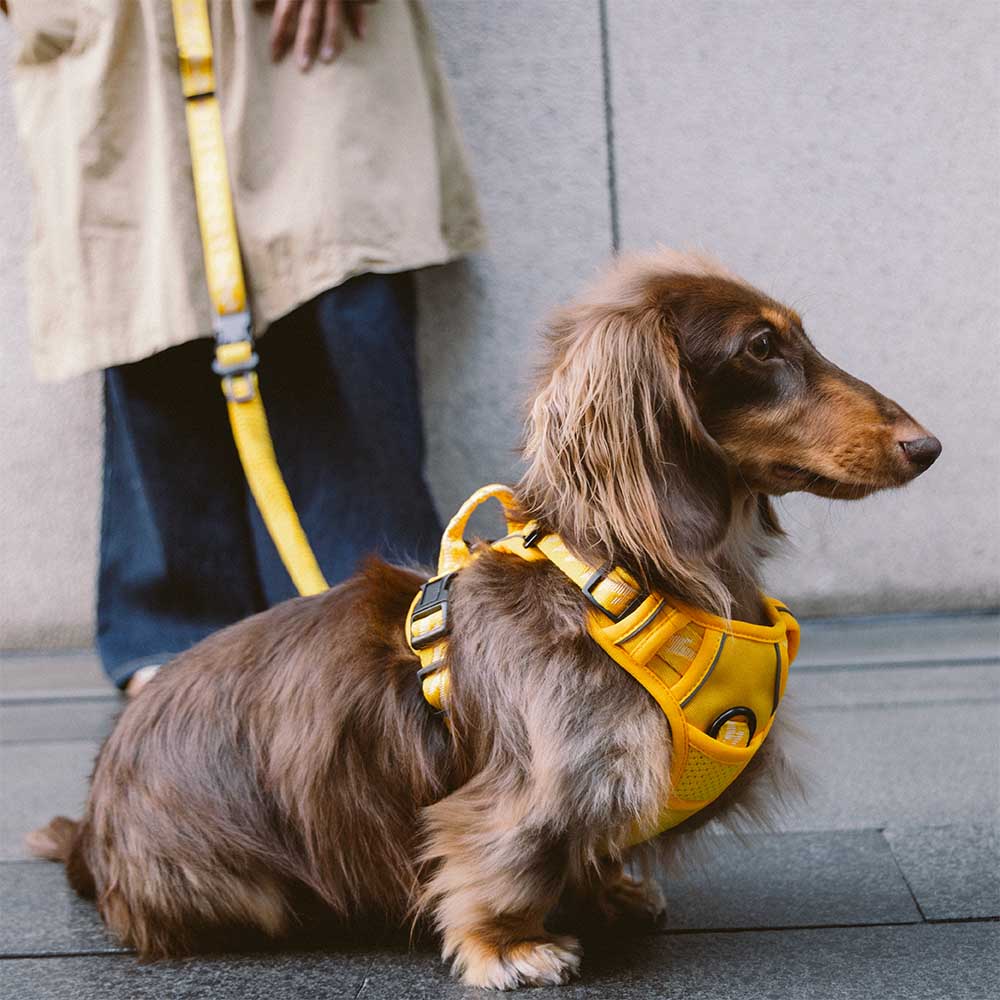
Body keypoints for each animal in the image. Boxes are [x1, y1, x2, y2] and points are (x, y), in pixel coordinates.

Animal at [29, 250, 936, 984]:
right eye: (760, 347)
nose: (927, 446)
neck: (622, 581)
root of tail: (91, 830)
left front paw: (609, 893)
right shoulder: (528, 788)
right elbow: (504, 858)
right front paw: (511, 947)